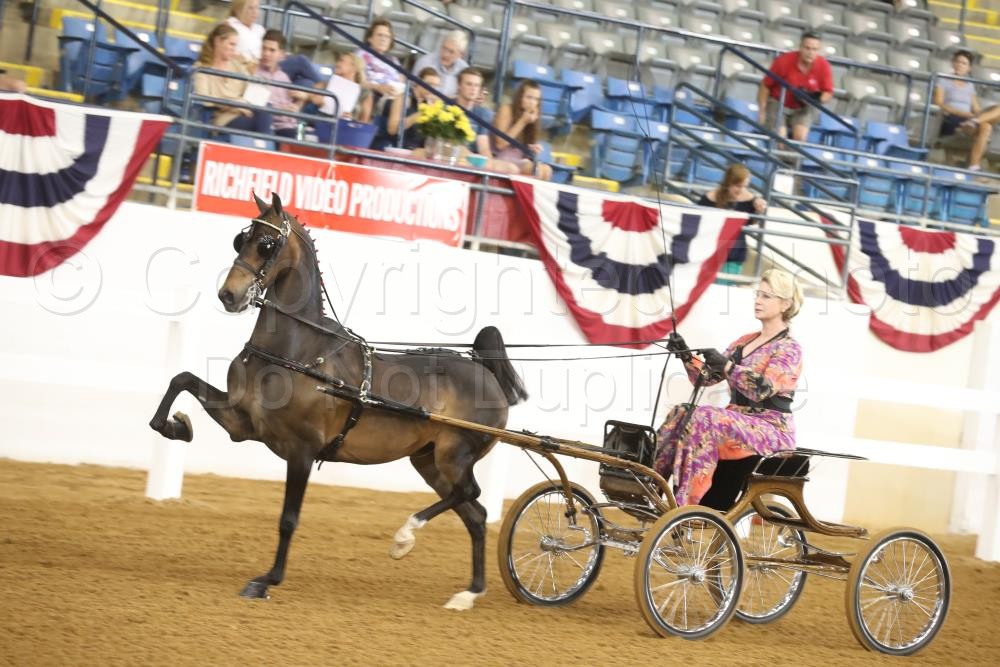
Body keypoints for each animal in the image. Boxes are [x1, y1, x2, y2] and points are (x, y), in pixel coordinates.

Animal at [148, 192, 527, 610]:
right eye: (240, 239)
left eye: (267, 244)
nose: (229, 296)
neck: (296, 351)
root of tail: (486, 373)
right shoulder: (242, 422)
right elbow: (181, 379)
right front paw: (175, 426)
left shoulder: (301, 449)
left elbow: (288, 519)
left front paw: (266, 580)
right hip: (427, 461)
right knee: (475, 514)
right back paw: (468, 592)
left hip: (455, 456)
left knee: (470, 494)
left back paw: (405, 537)